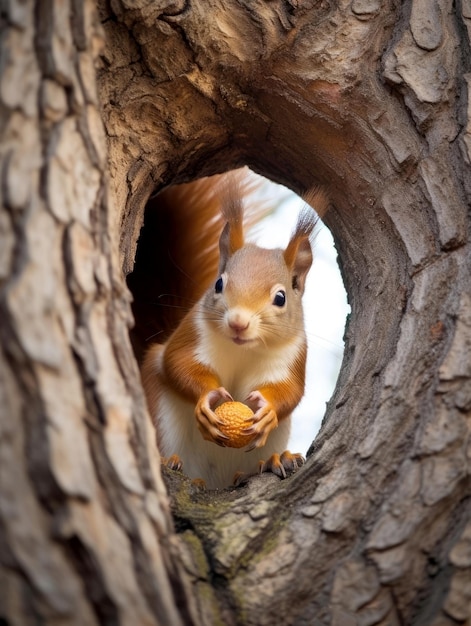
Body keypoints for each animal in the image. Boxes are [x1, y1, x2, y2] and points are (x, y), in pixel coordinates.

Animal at [136, 169, 328, 488]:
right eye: (218, 284)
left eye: (280, 298)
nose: (238, 322)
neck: (243, 350)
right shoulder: (191, 332)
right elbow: (178, 362)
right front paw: (207, 399)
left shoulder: (293, 353)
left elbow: (291, 390)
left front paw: (268, 409)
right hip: (165, 421)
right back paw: (173, 463)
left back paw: (274, 461)